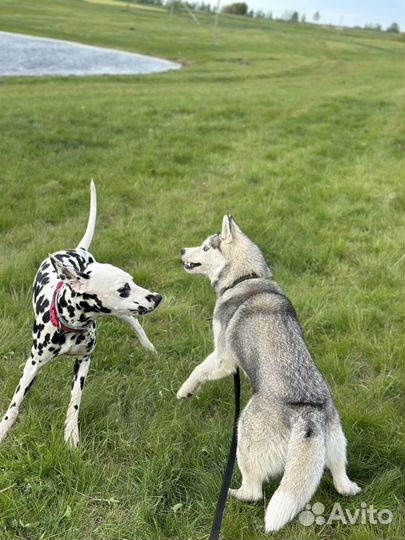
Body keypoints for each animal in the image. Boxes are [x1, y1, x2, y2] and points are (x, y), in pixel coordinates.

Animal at [0, 181, 161, 448]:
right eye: (123, 289)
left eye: (133, 282)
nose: (158, 298)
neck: (69, 325)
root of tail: (78, 250)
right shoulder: (32, 365)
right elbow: (15, 402)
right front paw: (3, 429)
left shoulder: (84, 360)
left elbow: (75, 400)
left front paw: (71, 434)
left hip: (122, 314)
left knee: (135, 323)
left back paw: (148, 347)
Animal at [177, 215, 360, 532]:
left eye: (205, 247)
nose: (181, 251)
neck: (245, 277)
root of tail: (306, 415)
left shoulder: (224, 358)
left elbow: (198, 369)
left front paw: (185, 390)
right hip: (336, 443)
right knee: (340, 479)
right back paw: (348, 487)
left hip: (244, 434)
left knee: (254, 492)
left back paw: (234, 494)